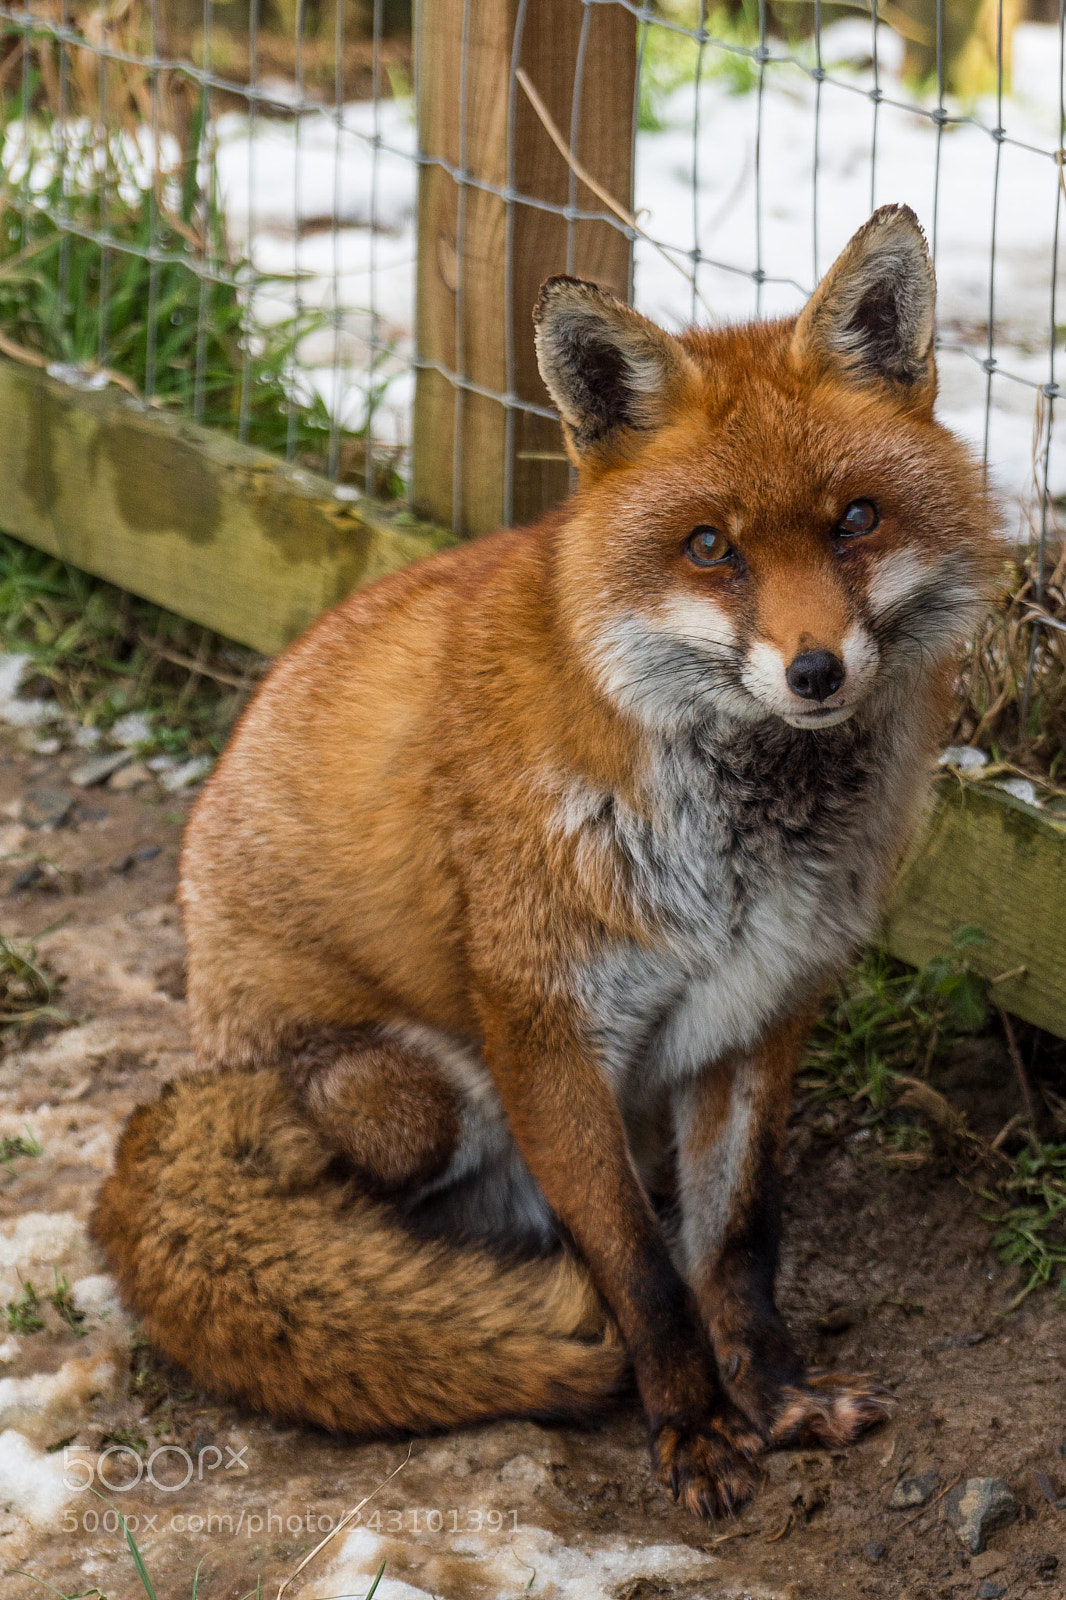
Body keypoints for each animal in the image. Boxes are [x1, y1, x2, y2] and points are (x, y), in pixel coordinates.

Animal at [92, 204, 998, 1520]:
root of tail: (197, 1053)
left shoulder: (757, 1013)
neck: (737, 847)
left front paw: (774, 1397)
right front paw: (691, 1430)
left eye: (856, 520)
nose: (816, 671)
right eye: (710, 547)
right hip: (411, 1097)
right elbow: (642, 1270)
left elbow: (736, 1247)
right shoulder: (547, 1028)